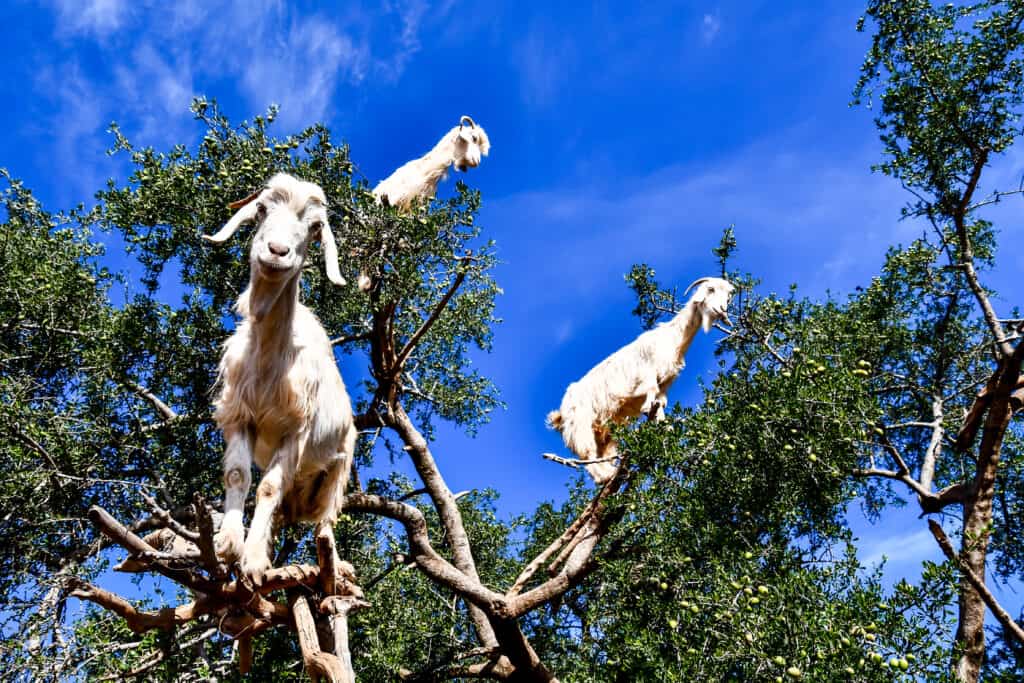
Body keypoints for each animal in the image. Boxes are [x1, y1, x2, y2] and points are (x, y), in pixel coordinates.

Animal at [201, 174, 358, 585]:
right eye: (261, 209)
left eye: (315, 226)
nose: (277, 251)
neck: (272, 363)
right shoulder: (239, 416)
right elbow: (238, 476)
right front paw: (229, 545)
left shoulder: (297, 430)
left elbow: (269, 488)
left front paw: (254, 562)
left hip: (337, 468)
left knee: (325, 521)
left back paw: (336, 568)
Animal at [548, 278, 733, 485]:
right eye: (710, 289)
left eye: (729, 294)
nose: (721, 309)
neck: (673, 339)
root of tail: (560, 413)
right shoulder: (648, 373)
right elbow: (649, 393)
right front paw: (646, 410)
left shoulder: (665, 384)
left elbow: (661, 404)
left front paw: (664, 426)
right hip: (579, 425)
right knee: (587, 454)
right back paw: (605, 477)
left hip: (604, 429)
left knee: (602, 453)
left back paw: (614, 474)